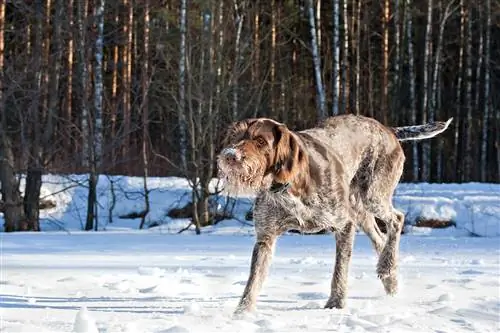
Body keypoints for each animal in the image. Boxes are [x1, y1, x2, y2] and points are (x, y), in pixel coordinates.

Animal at [218, 113, 454, 312]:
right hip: (360, 209)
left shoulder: (344, 225)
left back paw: (386, 267)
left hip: (373, 195)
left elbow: (339, 270)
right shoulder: (265, 237)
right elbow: (253, 280)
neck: (288, 185)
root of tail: (387, 129)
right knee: (380, 238)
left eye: (260, 141)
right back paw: (390, 278)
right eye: (235, 137)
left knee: (397, 219)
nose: (230, 156)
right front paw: (242, 313)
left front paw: (336, 304)